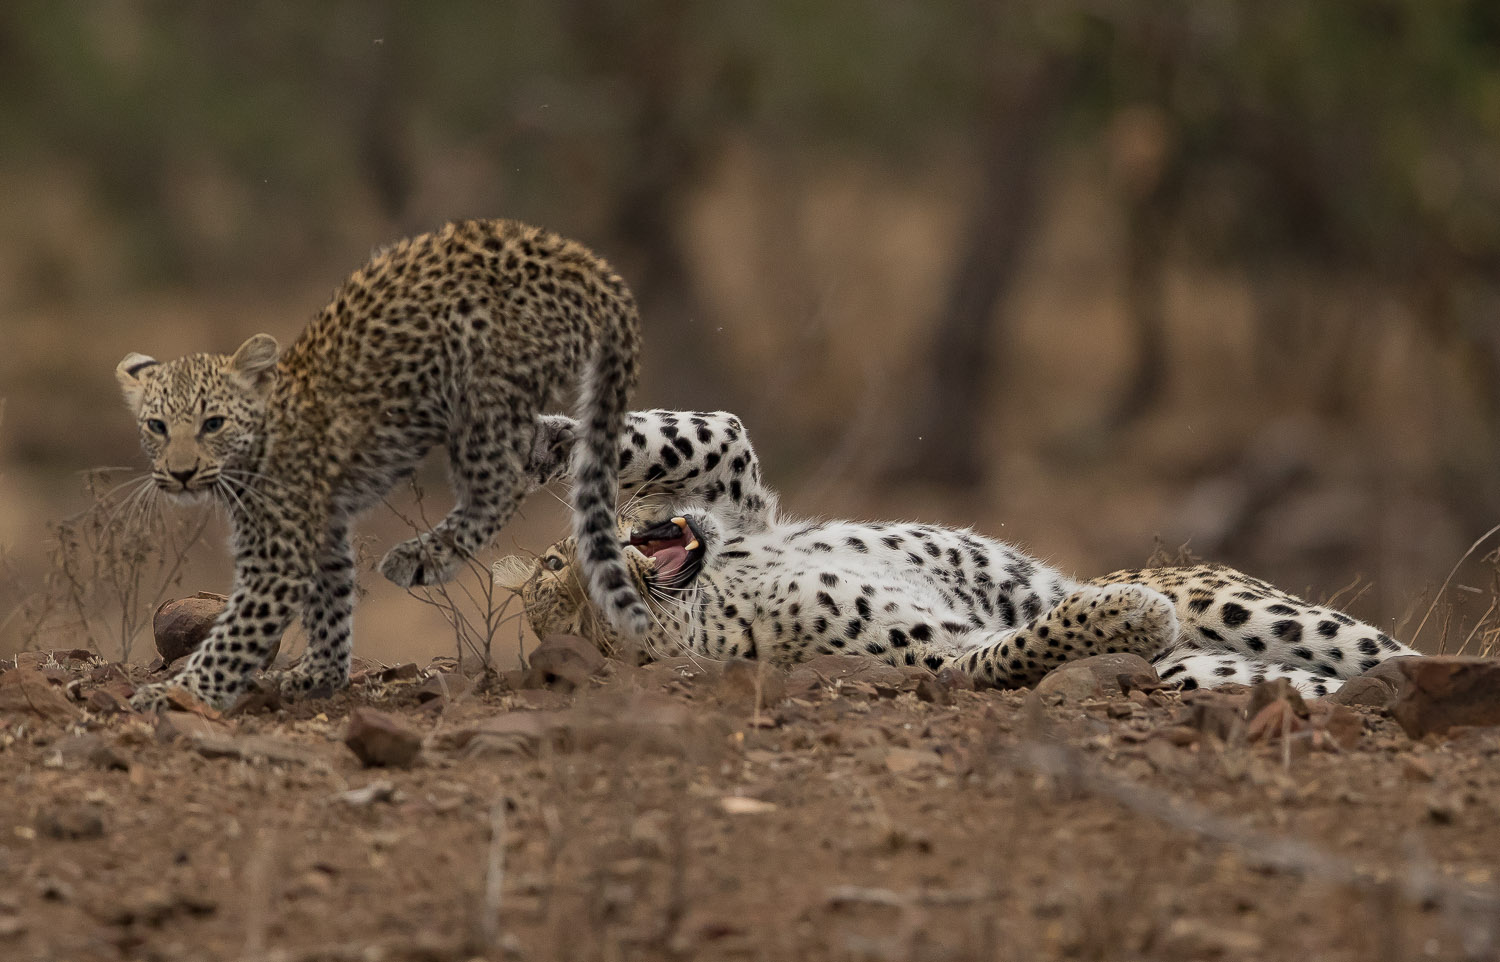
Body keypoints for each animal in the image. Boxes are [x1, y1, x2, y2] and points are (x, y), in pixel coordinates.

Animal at [117, 219, 652, 710]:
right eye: (157, 426)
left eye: (213, 423)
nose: (181, 473)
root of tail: (579, 258)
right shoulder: (325, 531)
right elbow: (331, 601)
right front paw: (321, 674)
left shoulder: (278, 559)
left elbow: (235, 635)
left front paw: (181, 692)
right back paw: (557, 444)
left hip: (478, 386)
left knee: (501, 485)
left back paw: (419, 559)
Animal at [495, 408, 1417, 696]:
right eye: (589, 619)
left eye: (556, 567)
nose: (601, 550)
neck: (714, 591)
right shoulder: (940, 656)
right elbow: (1024, 641)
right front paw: (1121, 613)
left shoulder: (738, 491)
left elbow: (692, 433)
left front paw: (549, 440)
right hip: (1208, 664)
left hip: (1244, 603)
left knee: (1382, 651)